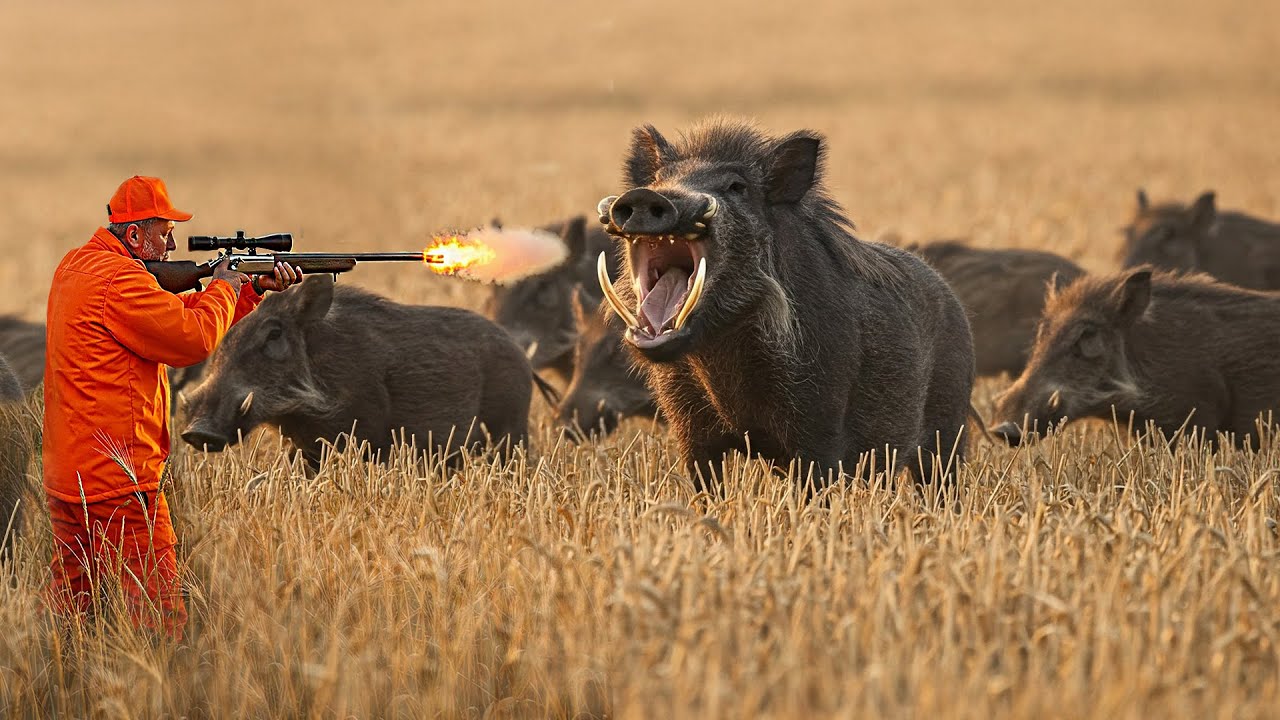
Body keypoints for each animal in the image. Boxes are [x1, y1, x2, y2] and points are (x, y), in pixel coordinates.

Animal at [181, 275, 539, 468]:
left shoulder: (365, 435)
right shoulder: (305, 446)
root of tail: (523, 358)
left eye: (274, 334)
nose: (198, 432)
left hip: (509, 428)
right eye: (225, 335)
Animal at [595, 119, 976, 489]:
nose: (645, 196)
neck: (719, 353)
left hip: (948, 435)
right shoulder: (691, 430)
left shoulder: (820, 432)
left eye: (737, 186)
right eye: (660, 178)